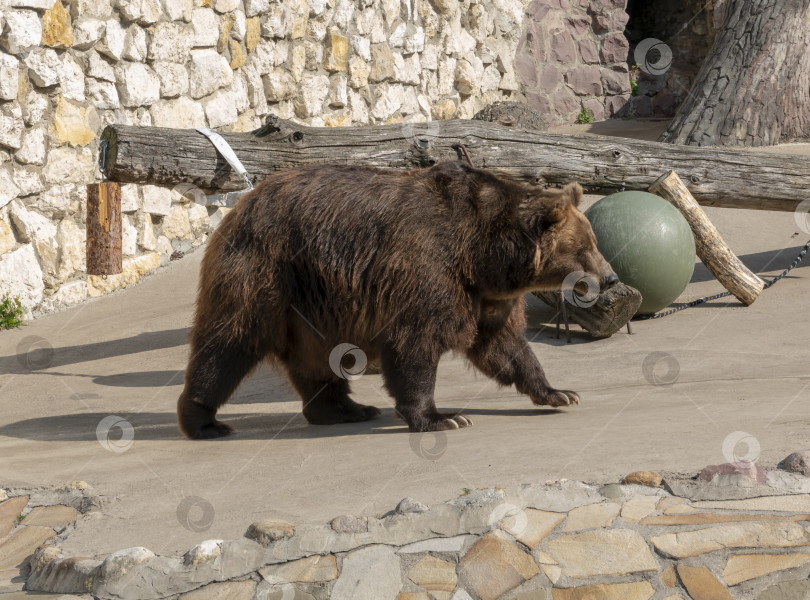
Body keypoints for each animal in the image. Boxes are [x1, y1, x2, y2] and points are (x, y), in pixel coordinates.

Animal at [177, 162, 616, 438]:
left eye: (594, 241)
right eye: (584, 249)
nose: (610, 278)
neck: (482, 256)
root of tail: (242, 203)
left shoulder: (484, 297)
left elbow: (503, 346)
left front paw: (559, 392)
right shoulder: (427, 270)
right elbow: (415, 345)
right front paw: (443, 417)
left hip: (316, 304)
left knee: (316, 358)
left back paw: (345, 409)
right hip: (266, 272)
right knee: (229, 343)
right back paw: (203, 421)